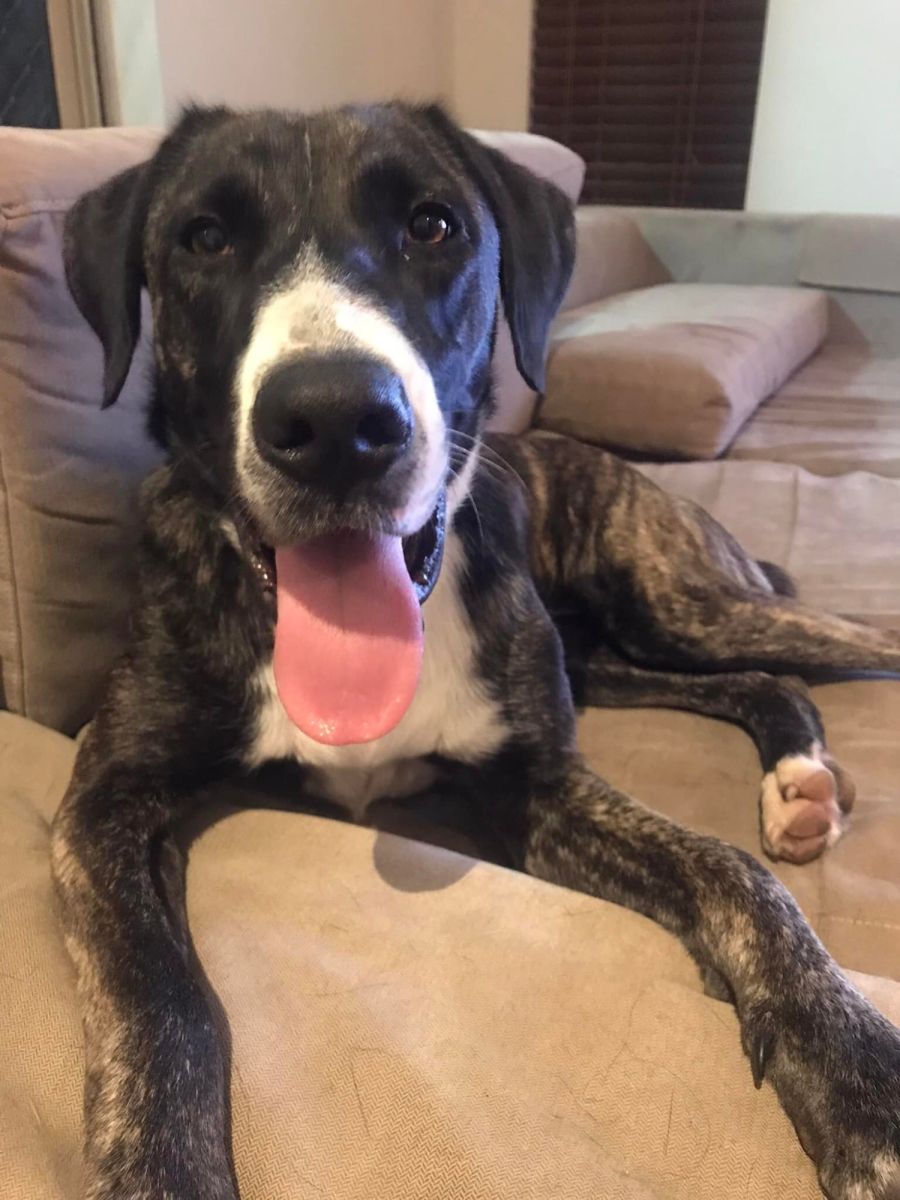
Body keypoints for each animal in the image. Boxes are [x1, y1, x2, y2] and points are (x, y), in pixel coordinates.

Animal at [52, 103, 900, 1200]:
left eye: (433, 225)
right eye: (204, 237)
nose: (337, 421)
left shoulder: (539, 789)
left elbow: (732, 874)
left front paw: (857, 1070)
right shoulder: (102, 801)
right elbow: (156, 994)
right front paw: (158, 1166)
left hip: (679, 603)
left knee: (845, 642)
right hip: (619, 655)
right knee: (760, 680)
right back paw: (797, 784)